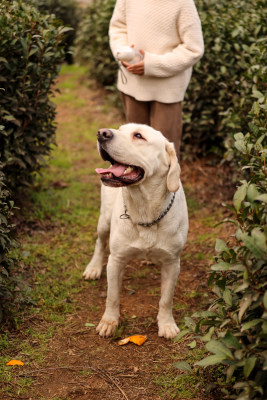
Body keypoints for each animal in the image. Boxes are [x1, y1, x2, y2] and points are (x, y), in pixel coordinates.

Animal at [84, 123, 188, 340]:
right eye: (120, 129)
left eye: (138, 136)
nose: (101, 133)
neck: (145, 210)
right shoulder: (116, 261)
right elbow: (112, 296)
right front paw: (109, 322)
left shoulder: (173, 263)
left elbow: (166, 298)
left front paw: (167, 324)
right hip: (104, 221)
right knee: (100, 243)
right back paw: (93, 267)